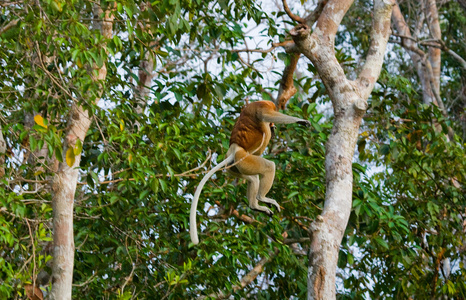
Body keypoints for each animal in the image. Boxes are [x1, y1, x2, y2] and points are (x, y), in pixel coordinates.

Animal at [189, 99, 310, 245]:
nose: (273, 127)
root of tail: (234, 150)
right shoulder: (263, 107)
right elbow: (267, 115)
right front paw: (301, 121)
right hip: (244, 159)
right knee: (269, 167)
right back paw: (262, 198)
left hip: (235, 167)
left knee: (253, 178)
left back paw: (255, 206)